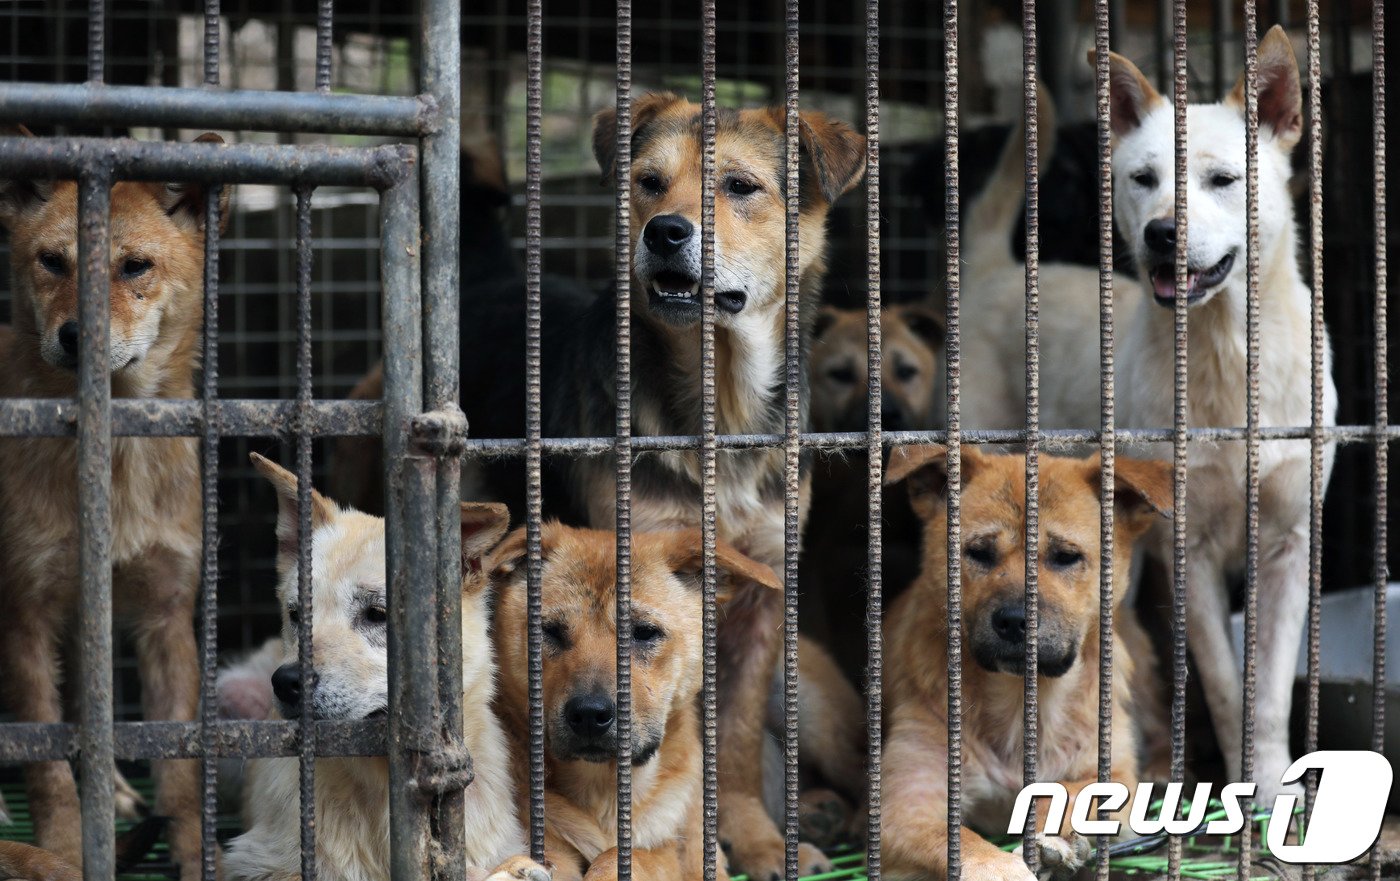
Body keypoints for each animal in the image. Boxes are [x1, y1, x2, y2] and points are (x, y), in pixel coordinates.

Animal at [0, 127, 226, 873]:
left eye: (135, 267)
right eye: (52, 262)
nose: (78, 336)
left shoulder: (167, 614)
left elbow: (179, 766)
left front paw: (192, 855)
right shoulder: (24, 614)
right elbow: (45, 767)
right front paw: (64, 855)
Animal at [487, 521, 784, 879]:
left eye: (644, 632)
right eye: (551, 631)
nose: (589, 715)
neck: (604, 791)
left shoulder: (678, 853)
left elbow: (633, 855)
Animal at [879, 445, 1176, 879]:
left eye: (1066, 557)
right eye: (979, 553)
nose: (1014, 621)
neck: (1020, 700)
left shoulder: (1112, 777)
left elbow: (1065, 795)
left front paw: (1055, 841)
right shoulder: (905, 803)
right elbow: (957, 839)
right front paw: (998, 866)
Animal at [1097, 25, 1338, 795]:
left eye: (1224, 181)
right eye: (1143, 178)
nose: (1161, 234)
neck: (1227, 355)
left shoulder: (1290, 546)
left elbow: (1270, 692)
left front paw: (1275, 785)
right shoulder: (1189, 552)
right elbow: (1228, 687)